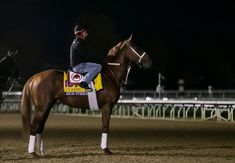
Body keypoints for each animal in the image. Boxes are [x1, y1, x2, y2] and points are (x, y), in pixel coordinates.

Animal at [20, 35, 152, 157]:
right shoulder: (107, 106)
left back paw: (41, 151)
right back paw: (33, 153)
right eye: (136, 47)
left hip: (47, 107)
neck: (111, 75)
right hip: (42, 108)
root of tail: (35, 77)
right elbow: (105, 126)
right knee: (34, 127)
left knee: (40, 127)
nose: (149, 61)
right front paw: (106, 149)